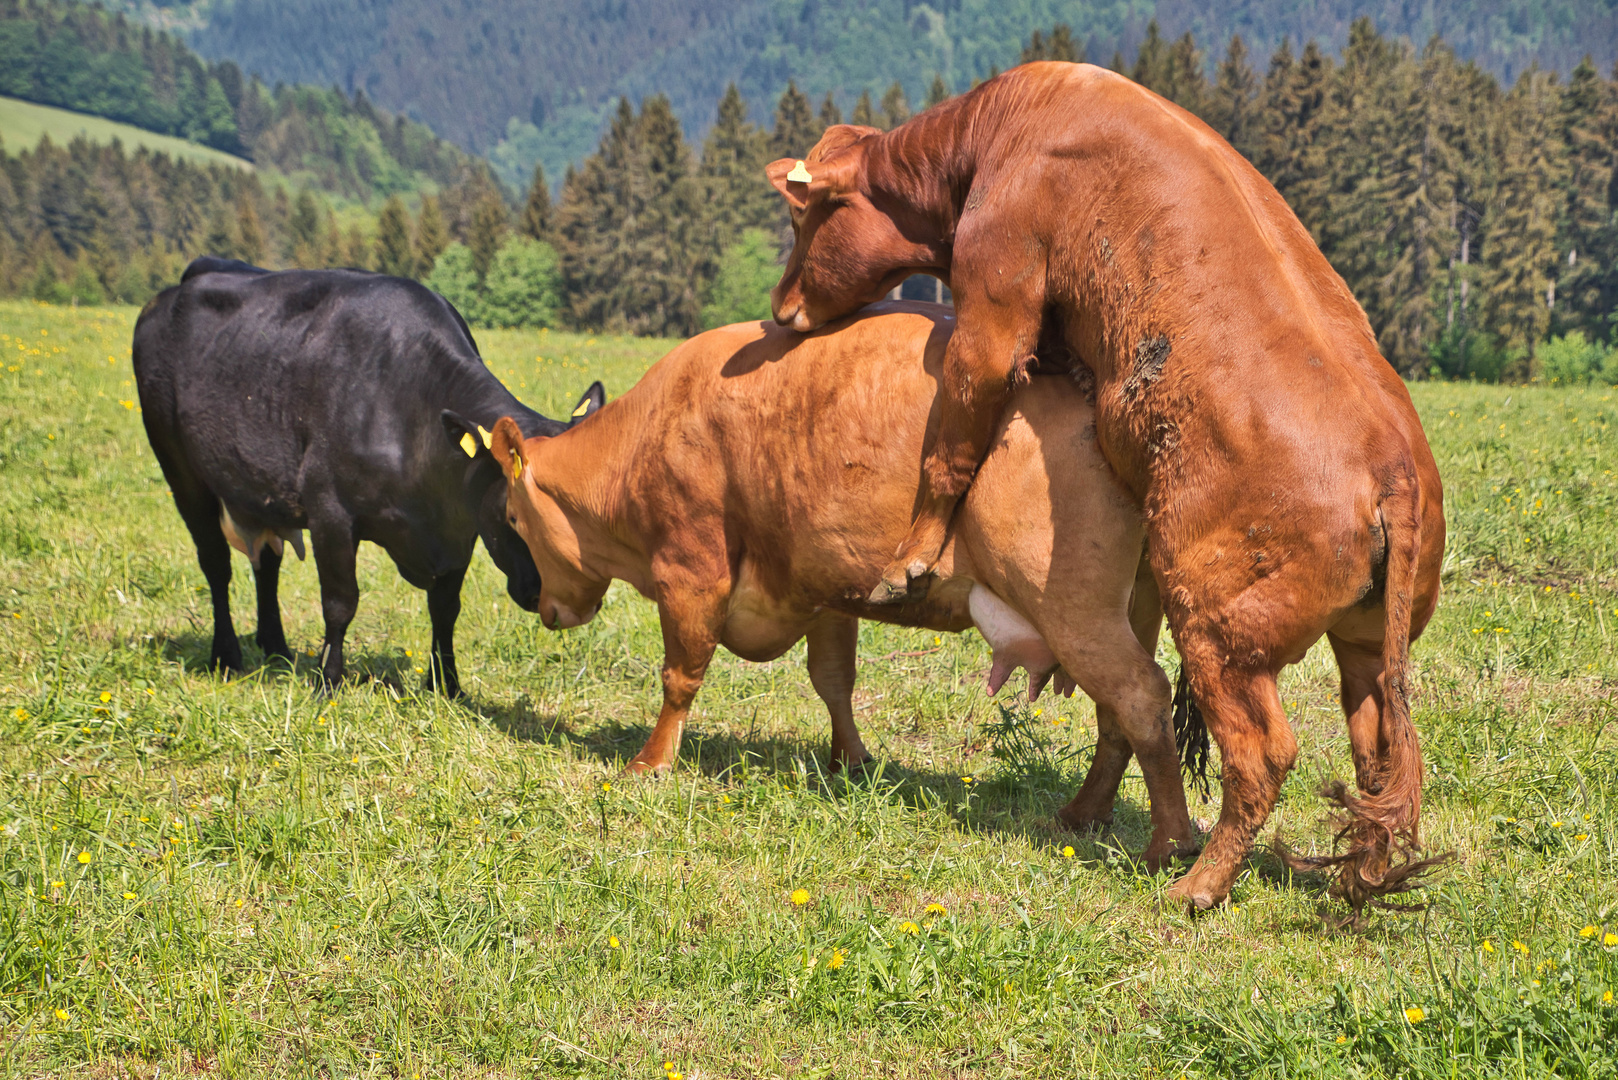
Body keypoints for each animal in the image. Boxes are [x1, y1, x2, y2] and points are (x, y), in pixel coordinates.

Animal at [135, 262, 605, 702]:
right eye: (515, 516)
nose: (571, 603)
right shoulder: (330, 511)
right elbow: (340, 603)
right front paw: (327, 683)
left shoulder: (461, 528)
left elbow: (445, 608)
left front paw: (447, 687)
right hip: (181, 470)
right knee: (216, 563)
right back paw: (226, 655)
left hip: (257, 487)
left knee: (266, 562)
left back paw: (276, 649)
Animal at [485, 302, 1197, 867]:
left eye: (512, 517)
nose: (545, 609)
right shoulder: (824, 584)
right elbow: (834, 680)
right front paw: (850, 761)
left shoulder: (690, 570)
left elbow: (680, 676)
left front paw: (651, 763)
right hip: (1129, 609)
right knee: (1117, 715)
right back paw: (1084, 813)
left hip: (1075, 608)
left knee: (1141, 697)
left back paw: (1170, 845)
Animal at [763, 61, 1449, 919]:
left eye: (807, 216)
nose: (780, 308)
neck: (1005, 125)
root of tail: (1391, 461)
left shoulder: (993, 307)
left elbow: (951, 445)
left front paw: (911, 558)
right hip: (1363, 644)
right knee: (1377, 757)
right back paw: (1354, 874)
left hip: (1218, 630)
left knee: (1257, 751)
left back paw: (1197, 881)